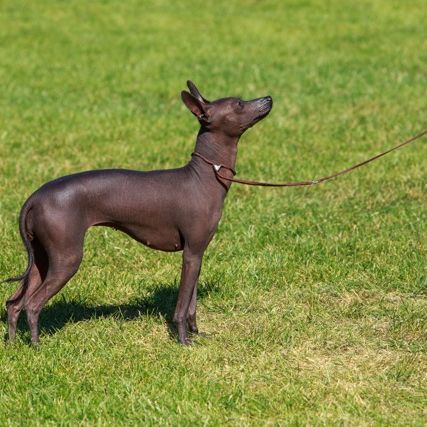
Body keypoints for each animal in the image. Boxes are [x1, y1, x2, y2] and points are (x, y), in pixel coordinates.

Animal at [3, 82, 272, 346]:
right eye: (239, 104)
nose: (268, 98)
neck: (204, 176)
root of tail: (35, 197)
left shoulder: (197, 253)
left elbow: (192, 302)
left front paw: (196, 334)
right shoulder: (191, 254)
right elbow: (182, 306)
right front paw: (183, 341)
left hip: (41, 258)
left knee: (14, 303)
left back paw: (13, 345)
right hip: (66, 259)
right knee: (33, 304)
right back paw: (37, 346)